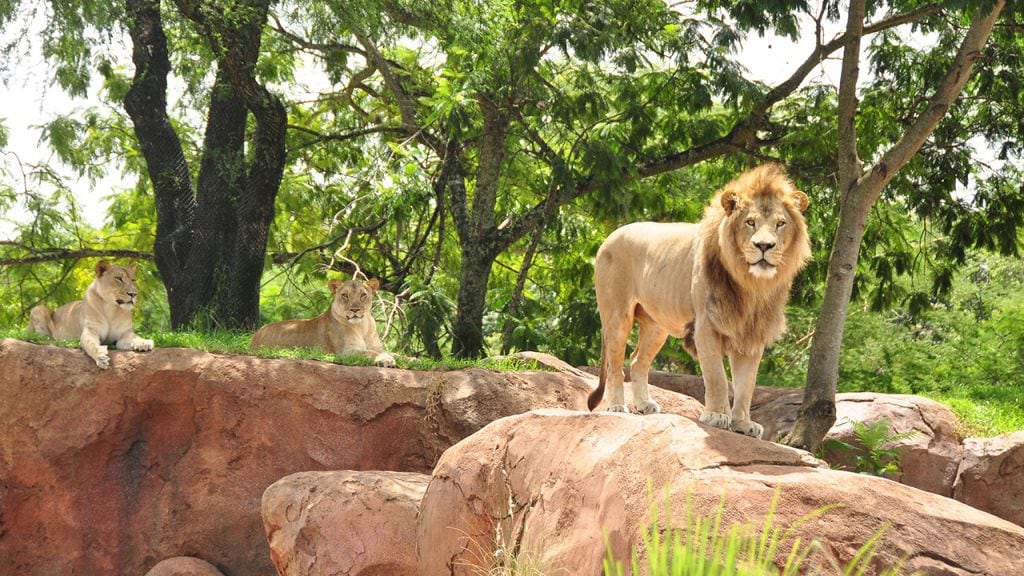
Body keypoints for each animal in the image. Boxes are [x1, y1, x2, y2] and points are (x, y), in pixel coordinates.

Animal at [250, 276, 395, 364]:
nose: (355, 309)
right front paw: (386, 359)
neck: (362, 326)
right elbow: (369, 353)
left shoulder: (377, 347)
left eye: (363, 295)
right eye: (345, 295)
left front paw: (395, 357)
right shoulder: (346, 352)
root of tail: (256, 335)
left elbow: (393, 353)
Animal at [589, 163, 811, 436]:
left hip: (656, 326)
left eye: (780, 223)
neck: (752, 285)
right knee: (615, 365)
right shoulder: (707, 326)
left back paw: (644, 405)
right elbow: (717, 377)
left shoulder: (752, 334)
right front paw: (716, 416)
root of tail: (610, 235)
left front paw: (743, 424)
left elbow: (746, 385)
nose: (764, 246)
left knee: (637, 360)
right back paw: (617, 406)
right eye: (750, 222)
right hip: (617, 317)